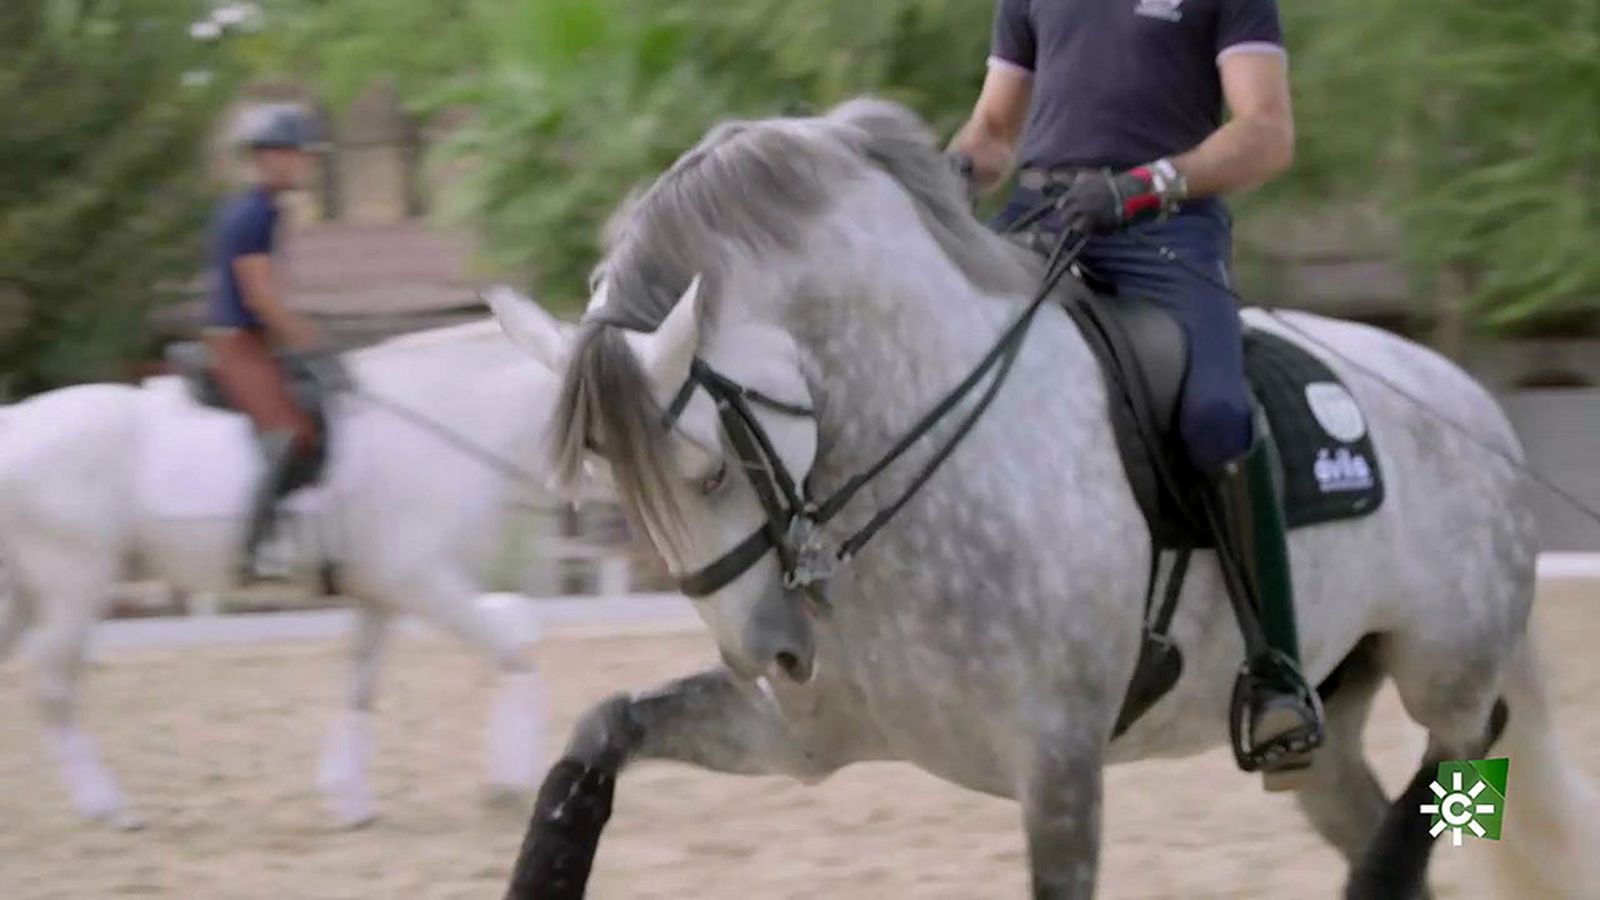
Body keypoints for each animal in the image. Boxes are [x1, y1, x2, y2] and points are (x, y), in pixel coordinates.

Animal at [0, 314, 560, 829]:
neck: (437, 419)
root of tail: (16, 422)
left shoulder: (381, 593)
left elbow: (361, 684)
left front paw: (349, 797)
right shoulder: (423, 583)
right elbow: (514, 654)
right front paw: (512, 786)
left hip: (28, 592)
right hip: (72, 585)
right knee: (54, 687)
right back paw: (109, 807)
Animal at [491, 99, 1600, 898]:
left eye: (709, 470)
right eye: (612, 489)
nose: (769, 655)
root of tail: (1472, 406)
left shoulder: (1060, 771)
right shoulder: (801, 738)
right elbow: (594, 739)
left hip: (1446, 664)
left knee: (1467, 744)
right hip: (1326, 728)